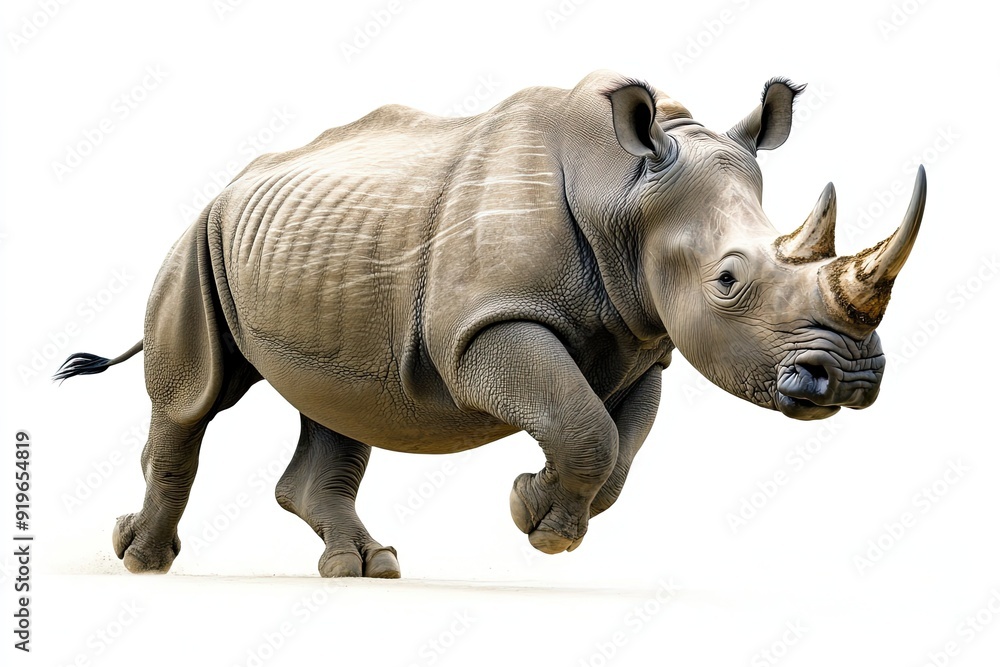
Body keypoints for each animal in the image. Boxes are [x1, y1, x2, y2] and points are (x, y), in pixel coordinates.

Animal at [56, 71, 926, 578]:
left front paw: (541, 514)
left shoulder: (646, 341)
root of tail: (228, 185)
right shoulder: (484, 327)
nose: (850, 378)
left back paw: (367, 567)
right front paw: (534, 514)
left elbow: (615, 449)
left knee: (339, 399)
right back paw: (142, 559)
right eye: (729, 280)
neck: (627, 193)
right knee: (194, 397)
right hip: (196, 243)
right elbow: (585, 426)